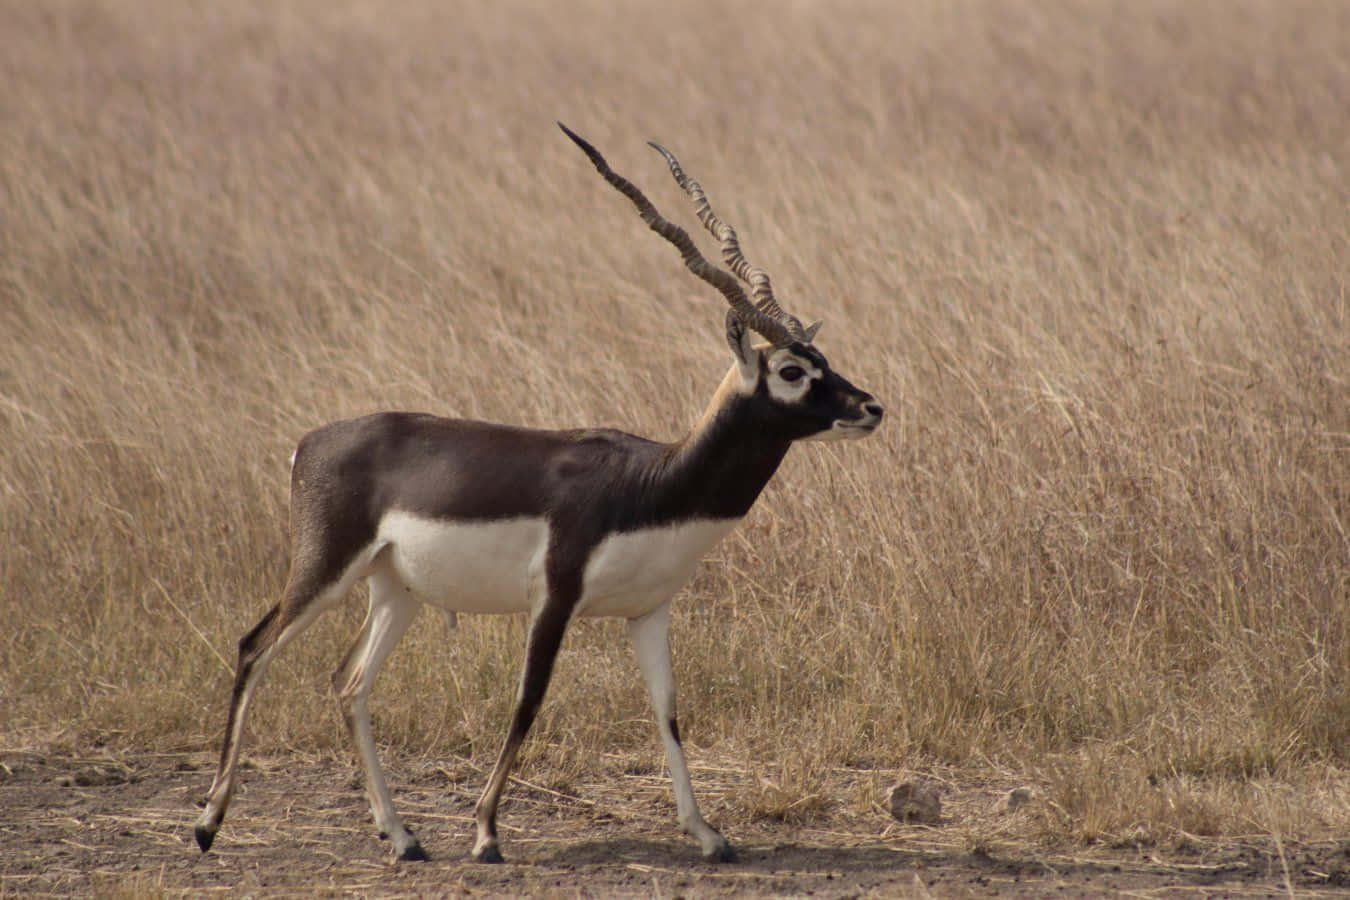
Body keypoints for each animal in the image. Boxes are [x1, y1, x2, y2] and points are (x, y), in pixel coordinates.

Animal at [193, 123, 885, 863]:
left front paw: (707, 834)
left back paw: (402, 836)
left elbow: (668, 712)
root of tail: (310, 443)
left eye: (821, 360)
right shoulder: (553, 597)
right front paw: (486, 833)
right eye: (790, 371)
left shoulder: (649, 611)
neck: (656, 482)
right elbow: (528, 700)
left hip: (396, 591)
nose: (871, 408)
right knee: (255, 648)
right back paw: (208, 825)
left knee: (348, 683)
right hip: (323, 571)